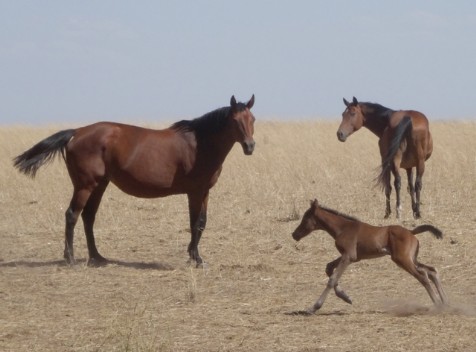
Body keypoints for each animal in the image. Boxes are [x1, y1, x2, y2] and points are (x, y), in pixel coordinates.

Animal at [13, 95, 256, 266]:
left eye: (252, 119)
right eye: (234, 120)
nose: (250, 146)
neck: (198, 144)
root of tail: (78, 132)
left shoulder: (204, 191)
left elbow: (201, 223)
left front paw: (195, 256)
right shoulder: (195, 192)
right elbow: (195, 224)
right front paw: (196, 259)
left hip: (99, 185)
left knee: (88, 217)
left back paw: (97, 257)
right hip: (85, 185)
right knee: (72, 215)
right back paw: (71, 258)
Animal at [292, 198, 448, 314]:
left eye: (305, 218)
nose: (294, 235)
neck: (343, 228)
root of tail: (411, 232)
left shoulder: (348, 256)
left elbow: (332, 279)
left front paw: (313, 307)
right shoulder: (353, 257)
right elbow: (328, 268)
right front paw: (346, 297)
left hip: (402, 259)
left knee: (423, 276)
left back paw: (438, 305)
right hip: (411, 258)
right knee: (431, 271)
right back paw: (446, 303)